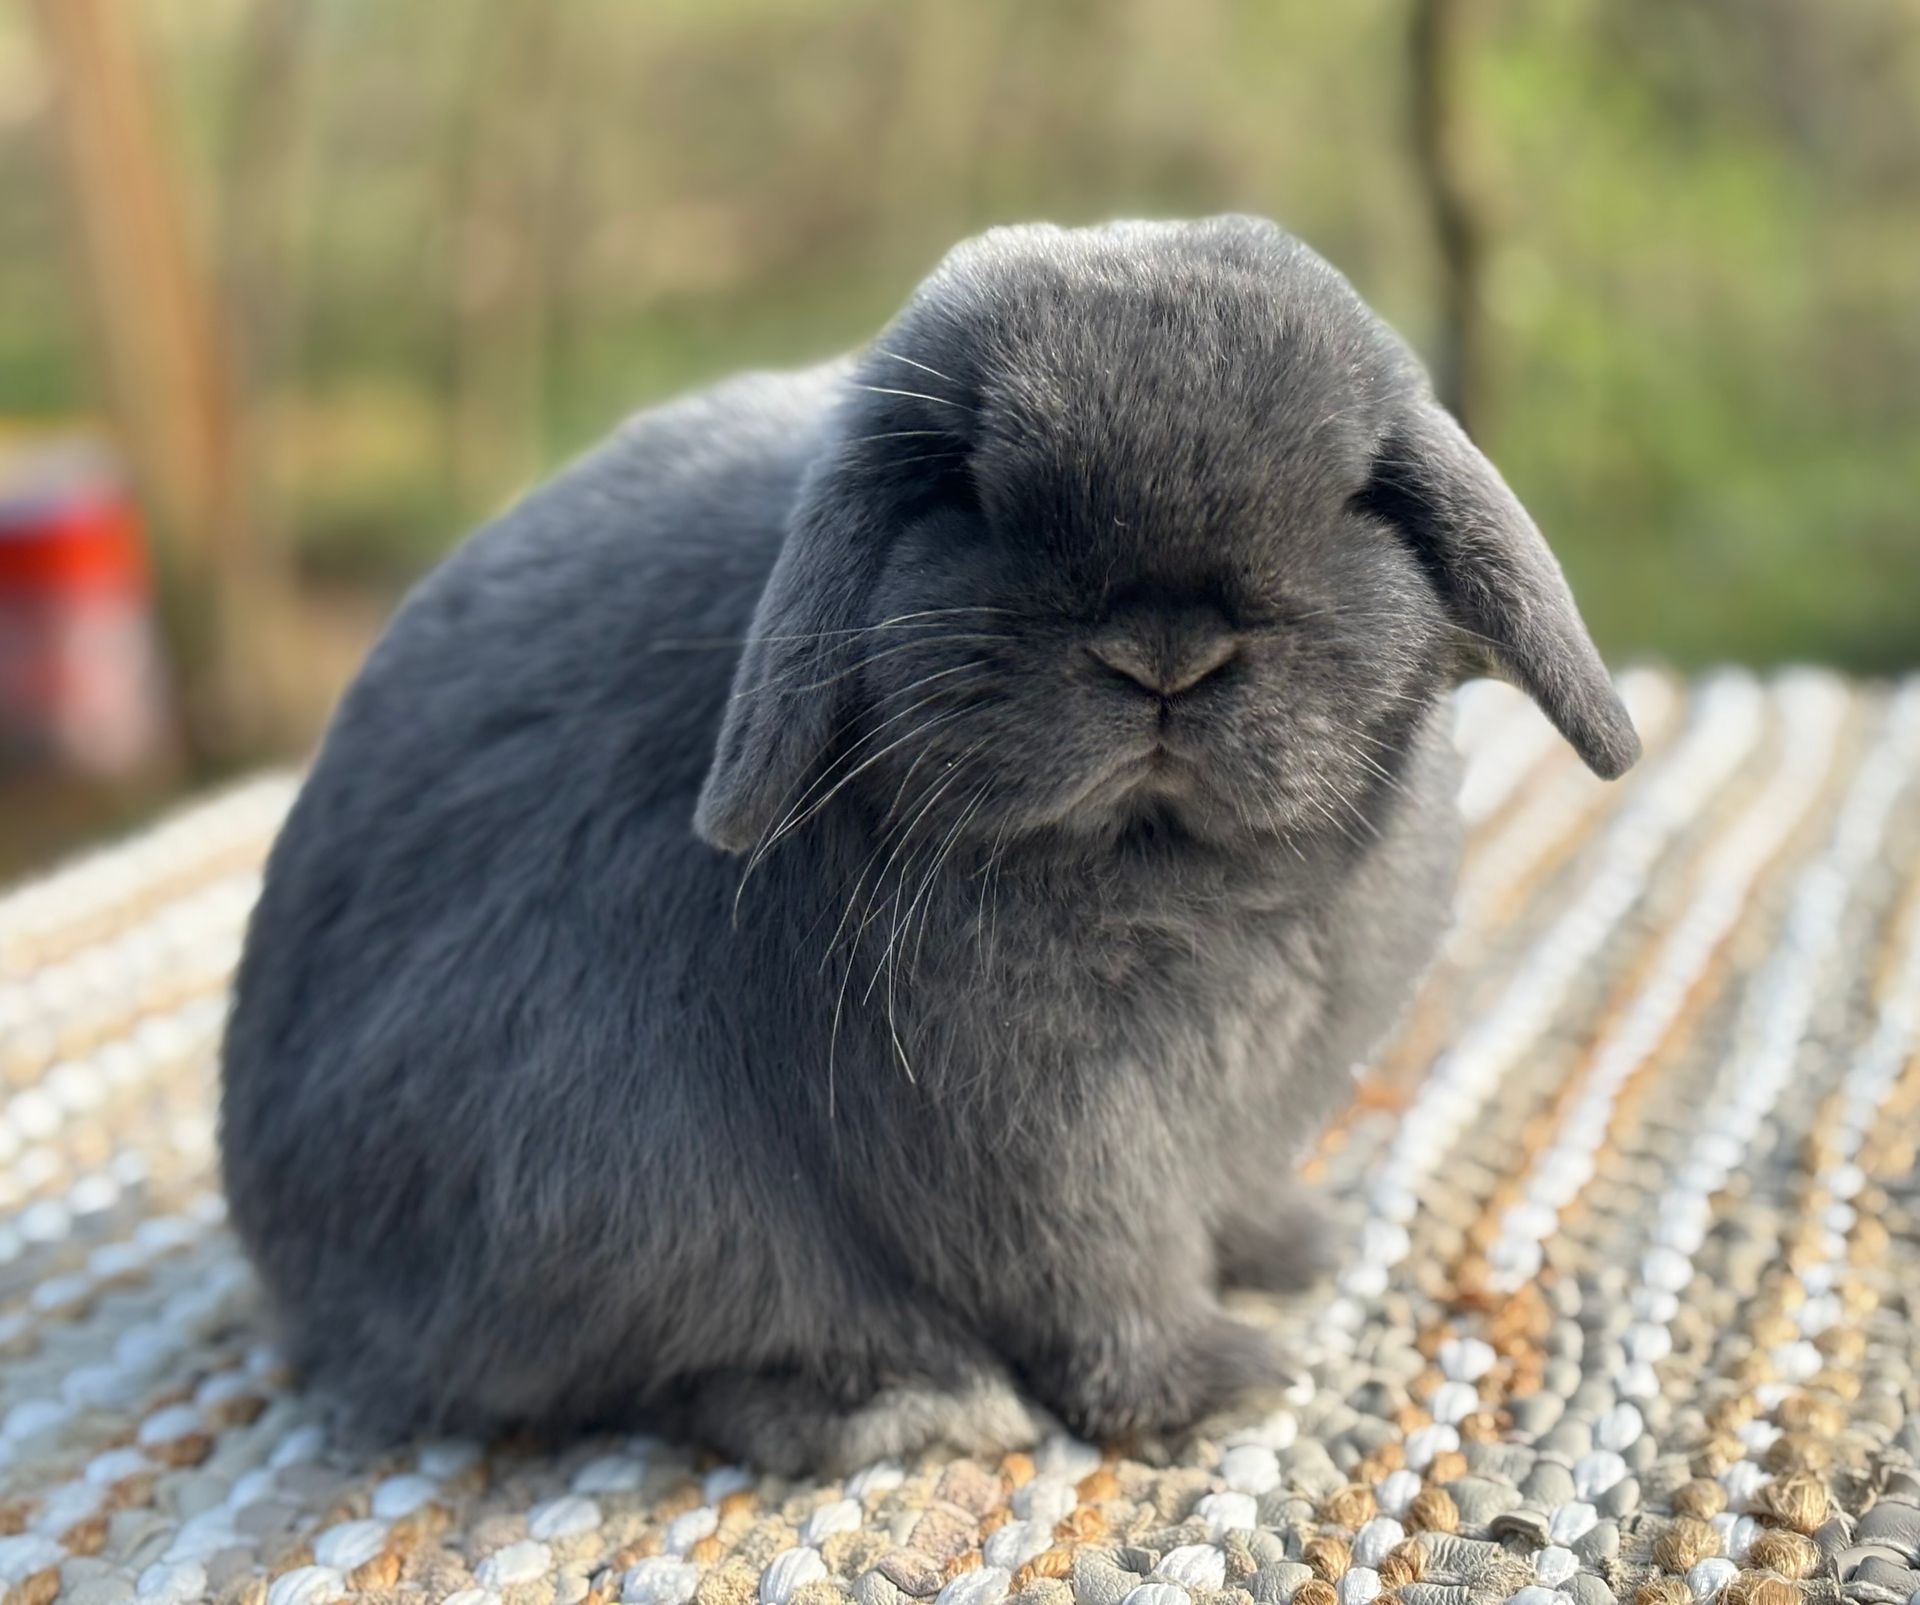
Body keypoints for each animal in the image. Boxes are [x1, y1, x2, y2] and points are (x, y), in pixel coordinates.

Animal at [219, 216, 1639, 1475]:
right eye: (969, 492)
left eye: (1354, 495)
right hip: (606, 1188)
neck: (1167, 866)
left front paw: (1292, 1248)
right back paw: (907, 1406)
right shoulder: (1027, 1139)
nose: (1163, 647)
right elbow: (1096, 1274)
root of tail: (299, 1281)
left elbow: (1221, 1200)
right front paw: (1208, 1391)